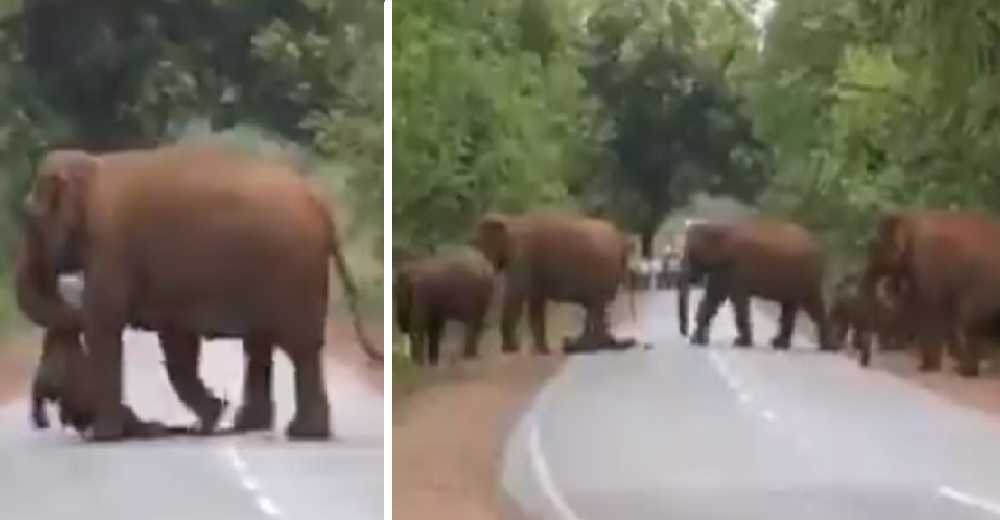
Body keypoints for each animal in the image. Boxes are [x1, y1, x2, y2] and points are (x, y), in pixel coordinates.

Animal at [24, 143, 382, 442]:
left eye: (30, 220)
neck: (91, 167)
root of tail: (321, 206)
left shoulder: (109, 245)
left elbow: (104, 324)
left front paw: (104, 437)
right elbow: (176, 344)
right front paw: (210, 417)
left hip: (293, 270)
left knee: (299, 348)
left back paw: (302, 434)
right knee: (262, 343)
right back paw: (247, 426)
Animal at [472, 210, 636, 354]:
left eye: (482, 245)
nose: (513, 347)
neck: (510, 220)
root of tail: (621, 241)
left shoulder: (522, 255)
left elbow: (517, 296)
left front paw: (512, 349)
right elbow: (535, 304)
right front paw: (541, 351)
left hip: (601, 272)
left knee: (596, 307)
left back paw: (582, 345)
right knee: (595, 308)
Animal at [672, 217, 836, 352]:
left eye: (690, 254)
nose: (685, 333)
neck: (720, 228)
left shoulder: (737, 267)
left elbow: (738, 302)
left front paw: (740, 343)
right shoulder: (723, 269)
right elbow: (712, 299)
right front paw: (697, 341)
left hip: (809, 274)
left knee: (813, 304)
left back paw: (828, 347)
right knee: (791, 304)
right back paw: (779, 344)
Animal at [856, 209, 1000, 376]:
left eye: (872, 246)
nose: (864, 364)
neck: (910, 217)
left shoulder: (927, 265)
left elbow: (927, 309)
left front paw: (927, 368)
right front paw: (928, 365)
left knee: (970, 321)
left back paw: (965, 371)